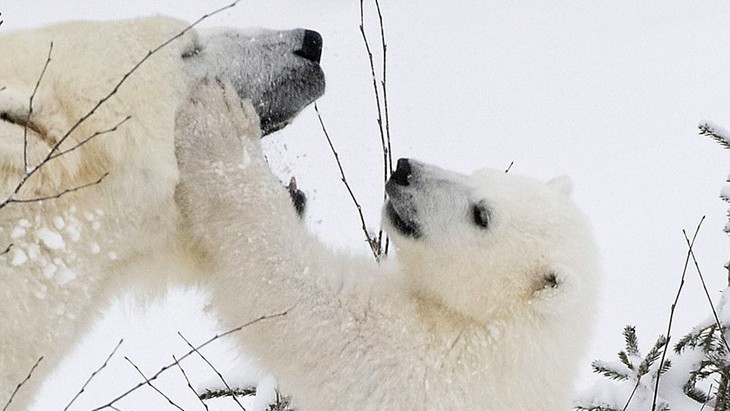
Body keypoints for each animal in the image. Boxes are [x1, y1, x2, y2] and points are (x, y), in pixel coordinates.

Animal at [175, 82, 596, 410]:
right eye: (478, 173)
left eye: (481, 215)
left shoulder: (428, 368)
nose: (404, 169)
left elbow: (304, 301)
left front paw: (220, 125)